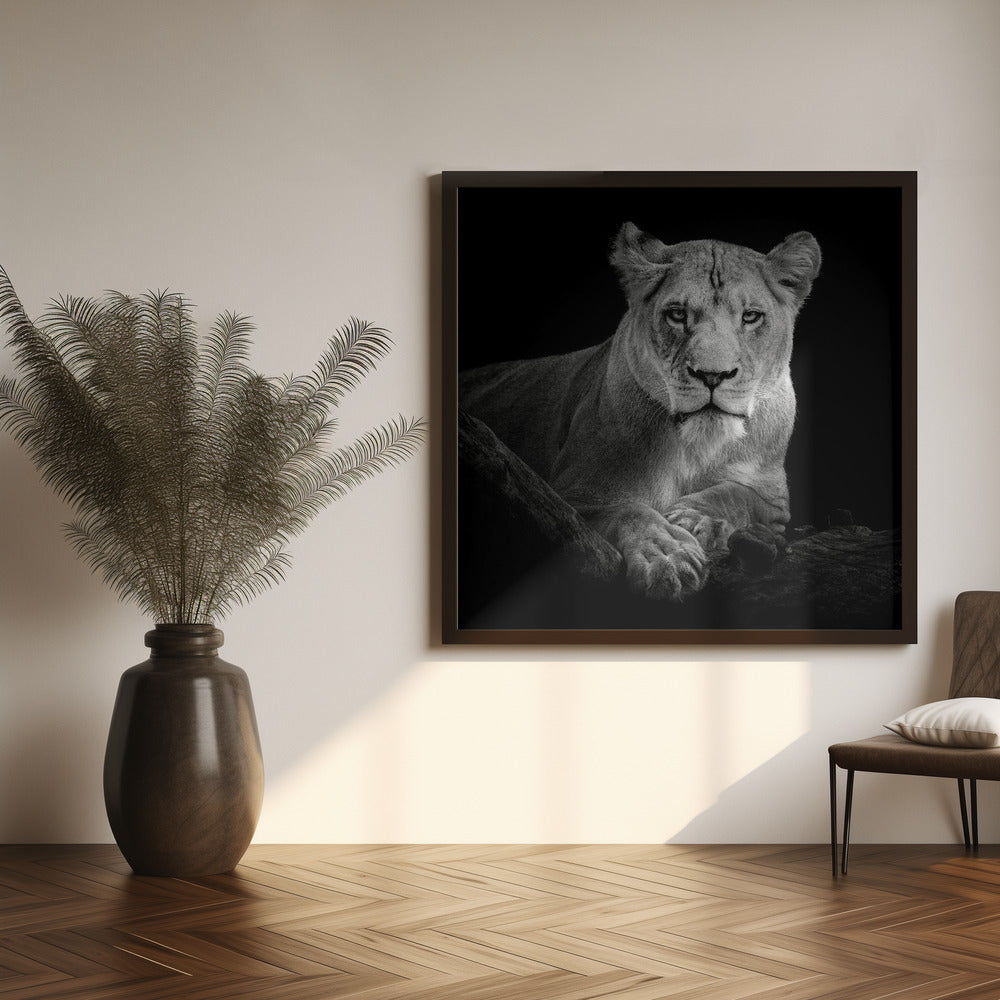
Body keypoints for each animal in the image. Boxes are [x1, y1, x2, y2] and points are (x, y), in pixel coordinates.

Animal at [459, 222, 822, 600]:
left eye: (751, 317)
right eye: (677, 314)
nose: (712, 375)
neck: (696, 447)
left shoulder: (774, 499)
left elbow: (738, 494)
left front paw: (696, 519)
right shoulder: (568, 498)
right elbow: (630, 511)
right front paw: (668, 556)